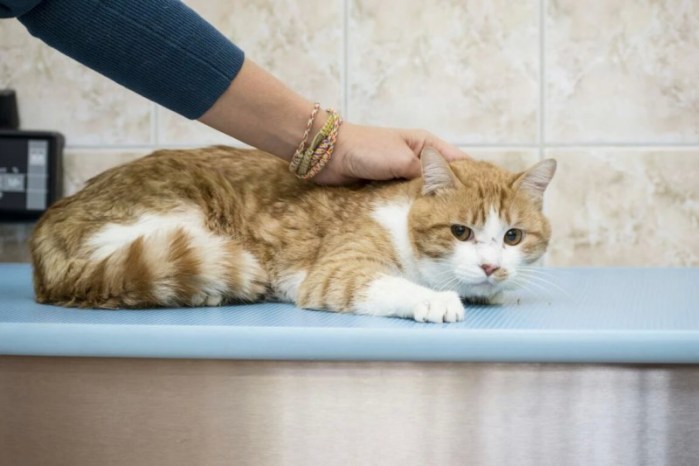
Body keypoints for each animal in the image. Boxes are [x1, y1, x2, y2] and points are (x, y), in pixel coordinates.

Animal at [30, 146, 556, 323]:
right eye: (460, 231)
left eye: (513, 237)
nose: (490, 266)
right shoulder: (335, 271)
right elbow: (387, 284)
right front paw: (435, 300)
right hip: (178, 213)